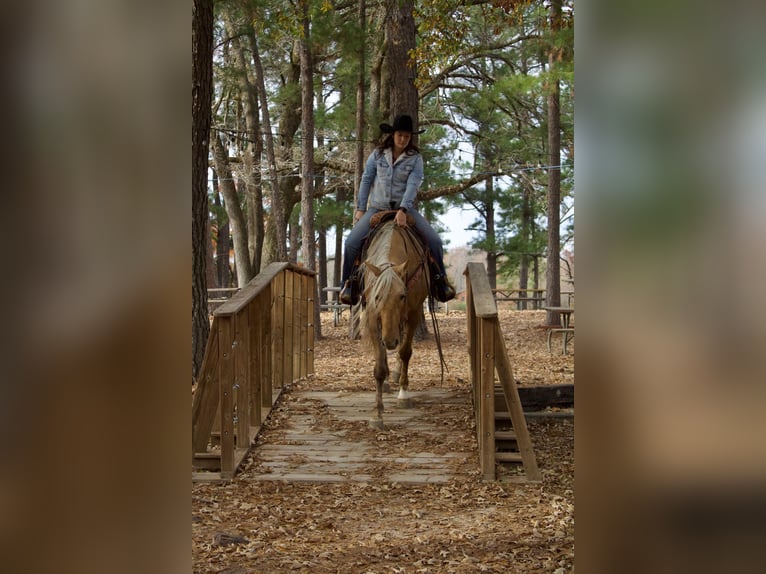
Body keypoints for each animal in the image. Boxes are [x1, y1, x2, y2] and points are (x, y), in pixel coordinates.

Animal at [362, 218, 432, 430]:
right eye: (377, 296)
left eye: (402, 296)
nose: (390, 341)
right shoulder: (372, 317)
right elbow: (379, 367)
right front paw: (377, 414)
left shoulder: (414, 313)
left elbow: (405, 352)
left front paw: (403, 394)